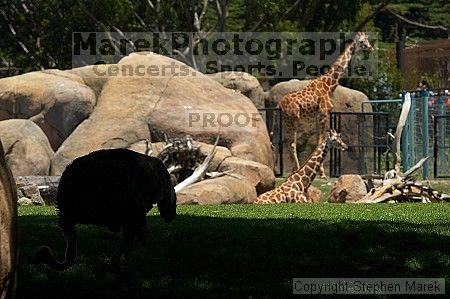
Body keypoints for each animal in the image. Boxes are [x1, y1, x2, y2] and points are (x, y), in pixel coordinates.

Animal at [278, 32, 372, 178]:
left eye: (367, 39)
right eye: (362, 41)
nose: (370, 47)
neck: (329, 86)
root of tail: (279, 104)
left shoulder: (318, 117)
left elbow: (318, 140)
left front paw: (319, 170)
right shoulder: (324, 114)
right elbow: (320, 141)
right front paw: (321, 173)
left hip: (286, 121)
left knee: (283, 141)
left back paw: (292, 169)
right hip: (293, 120)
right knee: (291, 143)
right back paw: (297, 169)